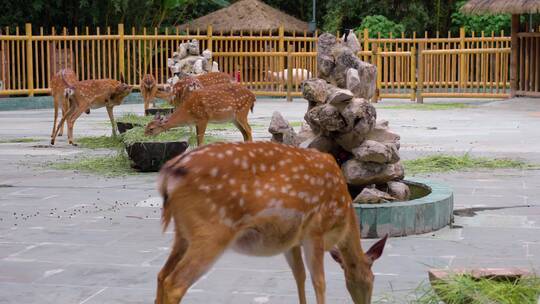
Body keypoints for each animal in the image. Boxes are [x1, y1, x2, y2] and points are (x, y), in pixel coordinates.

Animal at [154, 141, 386, 304]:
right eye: (372, 278)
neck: (344, 217)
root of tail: (169, 174)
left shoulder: (292, 240)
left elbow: (299, 276)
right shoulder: (316, 229)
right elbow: (319, 282)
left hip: (183, 233)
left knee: (161, 275)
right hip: (211, 231)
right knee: (175, 283)